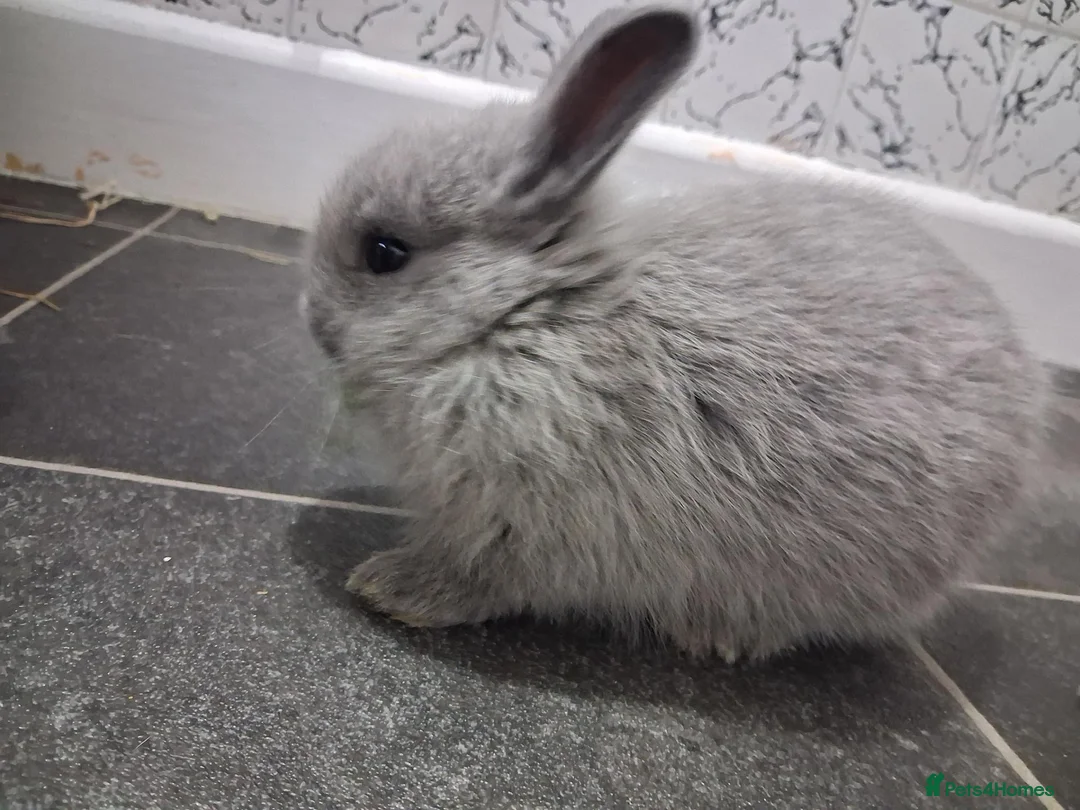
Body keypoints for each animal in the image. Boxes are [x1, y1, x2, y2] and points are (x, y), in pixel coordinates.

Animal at [300, 4, 1048, 661]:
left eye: (384, 252)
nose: (311, 320)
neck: (525, 316)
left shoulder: (521, 525)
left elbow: (480, 580)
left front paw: (390, 589)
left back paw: (718, 639)